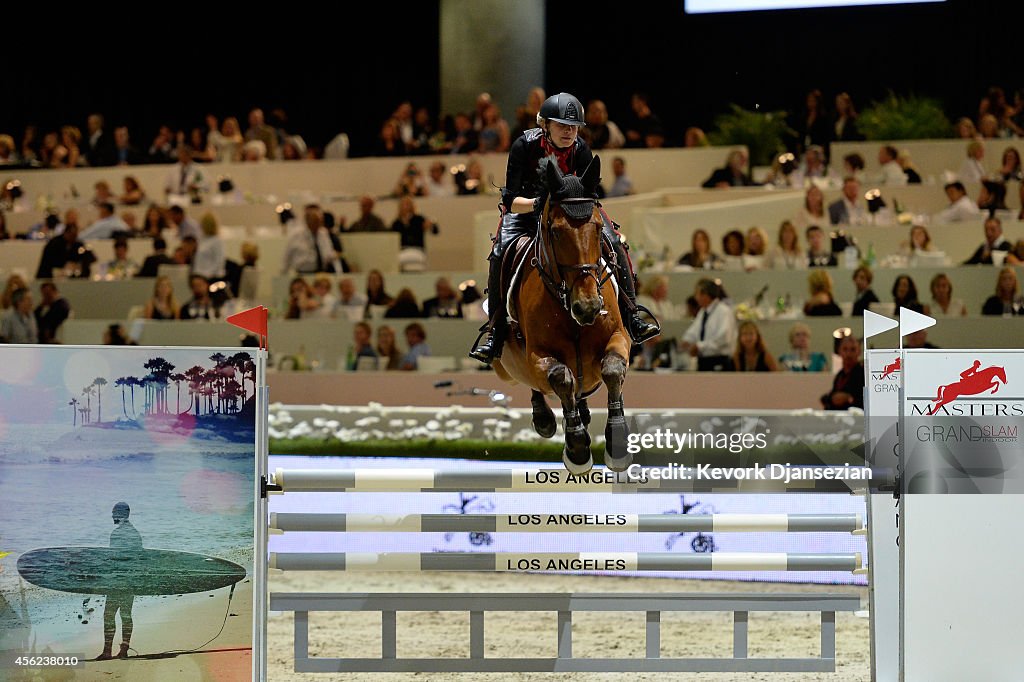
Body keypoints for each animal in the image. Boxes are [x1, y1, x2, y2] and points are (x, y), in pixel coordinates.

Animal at [493, 155, 630, 473]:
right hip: (507, 367)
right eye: (555, 232)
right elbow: (561, 377)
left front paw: (617, 441)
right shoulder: (537, 355)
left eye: (597, 228)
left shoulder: (619, 336)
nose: (588, 307)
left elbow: (612, 369)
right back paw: (545, 419)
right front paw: (577, 450)